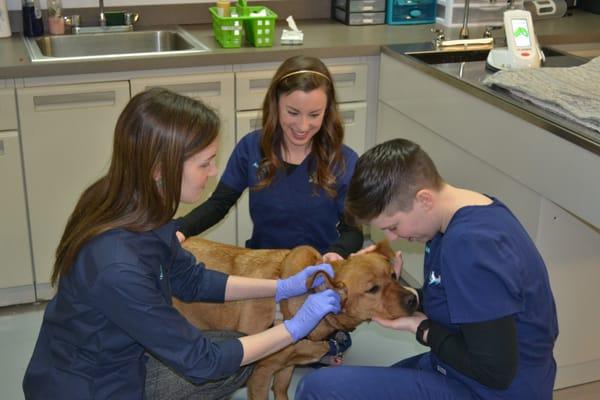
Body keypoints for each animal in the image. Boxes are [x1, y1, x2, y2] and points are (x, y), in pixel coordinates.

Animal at [173, 238, 418, 400]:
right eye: (372, 289)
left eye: (394, 276)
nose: (414, 299)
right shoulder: (260, 375)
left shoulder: (286, 368)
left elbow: (282, 390)